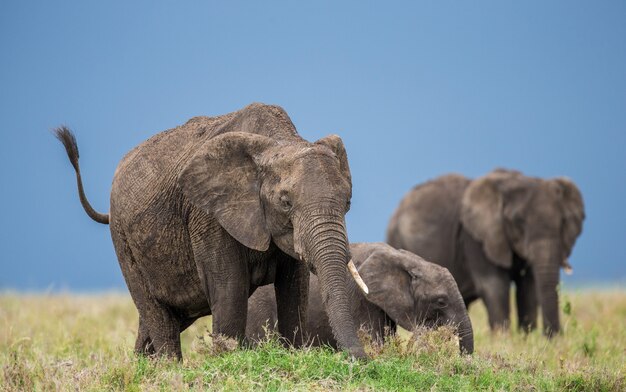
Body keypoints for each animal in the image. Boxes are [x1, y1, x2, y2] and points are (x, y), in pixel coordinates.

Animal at [54, 102, 366, 360]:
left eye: (348, 202)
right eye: (285, 202)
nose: (360, 361)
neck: (277, 141)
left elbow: (295, 289)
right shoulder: (207, 215)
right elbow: (230, 287)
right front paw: (229, 361)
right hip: (123, 241)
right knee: (157, 315)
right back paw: (169, 369)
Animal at [388, 169, 584, 336]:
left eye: (563, 221)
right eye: (517, 221)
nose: (554, 337)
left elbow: (528, 288)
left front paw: (527, 337)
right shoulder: (475, 238)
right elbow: (495, 286)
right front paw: (503, 339)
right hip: (396, 237)